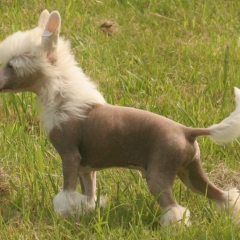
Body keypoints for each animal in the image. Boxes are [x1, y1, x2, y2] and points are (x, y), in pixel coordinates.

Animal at [0, 9, 240, 227]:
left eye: (11, 65)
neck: (63, 99)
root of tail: (186, 130)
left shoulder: (70, 156)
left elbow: (67, 193)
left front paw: (64, 214)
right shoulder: (86, 168)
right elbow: (89, 194)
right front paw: (85, 213)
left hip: (159, 174)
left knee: (175, 209)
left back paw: (173, 227)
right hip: (191, 173)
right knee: (222, 196)